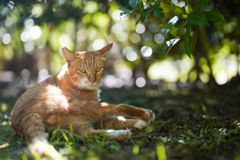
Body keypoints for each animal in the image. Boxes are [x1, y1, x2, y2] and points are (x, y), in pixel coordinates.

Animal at [10, 43, 156, 158]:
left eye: (98, 69)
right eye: (82, 70)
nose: (92, 80)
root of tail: (24, 115)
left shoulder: (98, 119)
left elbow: (117, 120)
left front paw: (139, 123)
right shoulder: (96, 109)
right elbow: (118, 113)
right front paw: (145, 118)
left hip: (72, 124)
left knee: (88, 134)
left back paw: (121, 134)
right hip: (83, 106)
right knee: (117, 108)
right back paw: (139, 119)